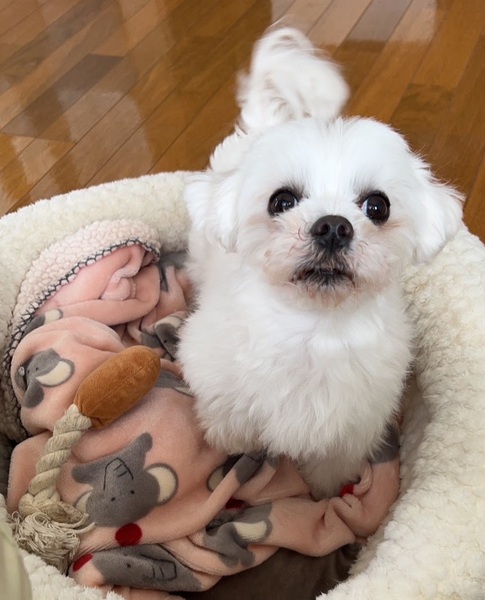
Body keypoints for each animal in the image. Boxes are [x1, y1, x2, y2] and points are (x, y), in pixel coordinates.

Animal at [177, 27, 463, 500]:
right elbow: (231, 431)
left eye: (378, 206)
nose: (332, 226)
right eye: (281, 201)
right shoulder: (225, 396)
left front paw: (321, 498)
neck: (315, 331)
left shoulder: (347, 434)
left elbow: (328, 472)